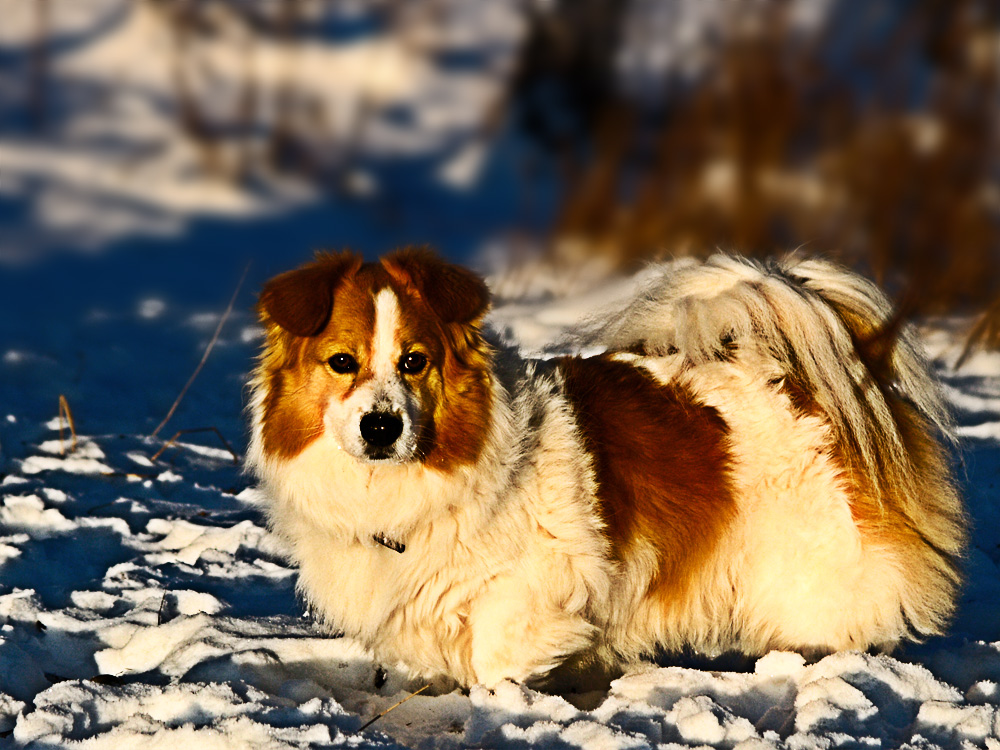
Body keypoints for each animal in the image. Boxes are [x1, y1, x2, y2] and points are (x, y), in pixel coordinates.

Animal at [248, 250, 968, 692]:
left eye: (414, 362)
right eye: (342, 362)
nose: (381, 426)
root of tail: (811, 381)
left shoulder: (534, 582)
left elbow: (497, 653)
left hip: (811, 572)